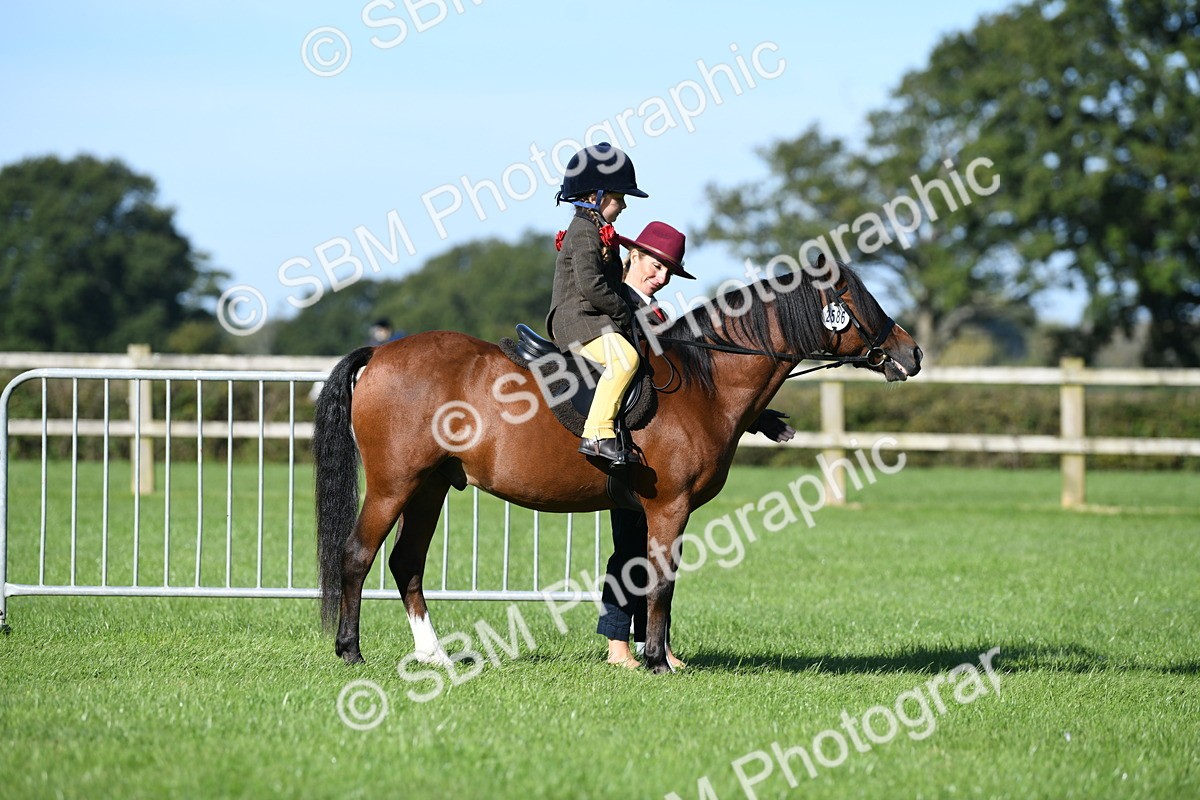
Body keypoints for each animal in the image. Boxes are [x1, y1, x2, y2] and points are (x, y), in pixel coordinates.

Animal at [313, 259, 921, 674]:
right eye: (856, 297)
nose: (911, 353)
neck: (703, 382)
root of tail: (381, 353)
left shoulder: (644, 511)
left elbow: (640, 579)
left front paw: (658, 658)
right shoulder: (669, 508)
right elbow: (661, 582)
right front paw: (655, 661)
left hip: (431, 487)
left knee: (406, 564)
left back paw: (434, 654)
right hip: (394, 485)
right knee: (358, 555)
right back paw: (351, 652)